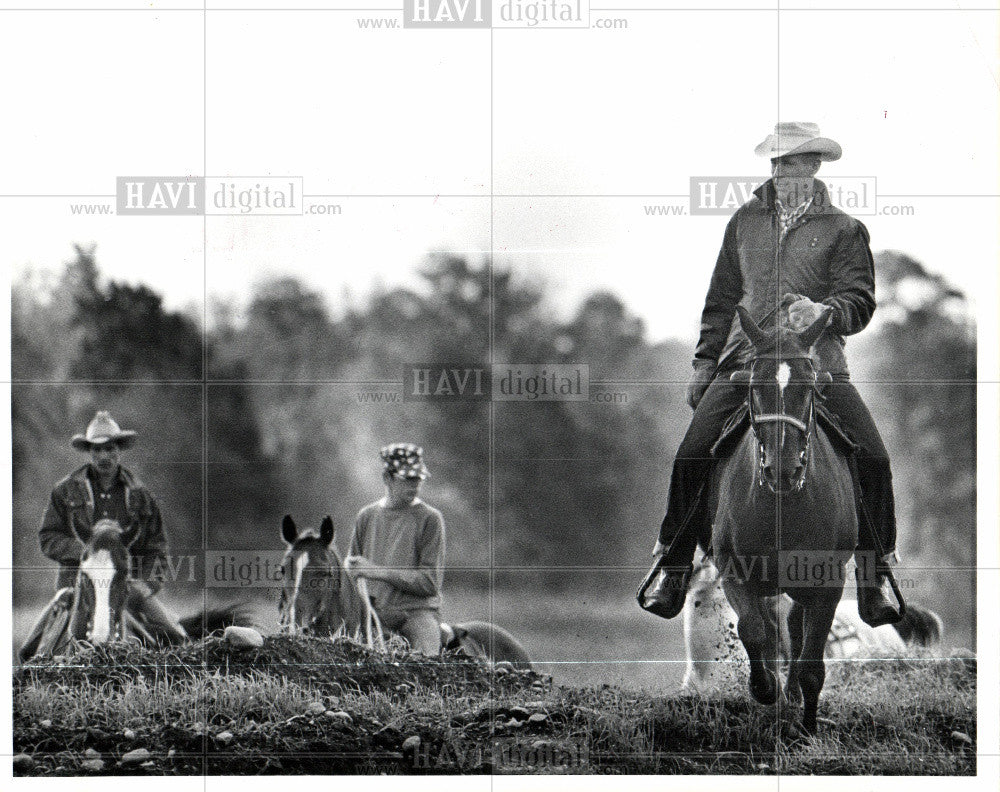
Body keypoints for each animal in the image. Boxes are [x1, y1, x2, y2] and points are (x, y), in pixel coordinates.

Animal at [716, 304, 856, 736]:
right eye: (754, 385)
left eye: (810, 387)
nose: (783, 470)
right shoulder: (733, 568)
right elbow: (753, 628)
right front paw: (764, 689)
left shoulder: (829, 582)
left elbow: (812, 664)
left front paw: (807, 729)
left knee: (795, 625)